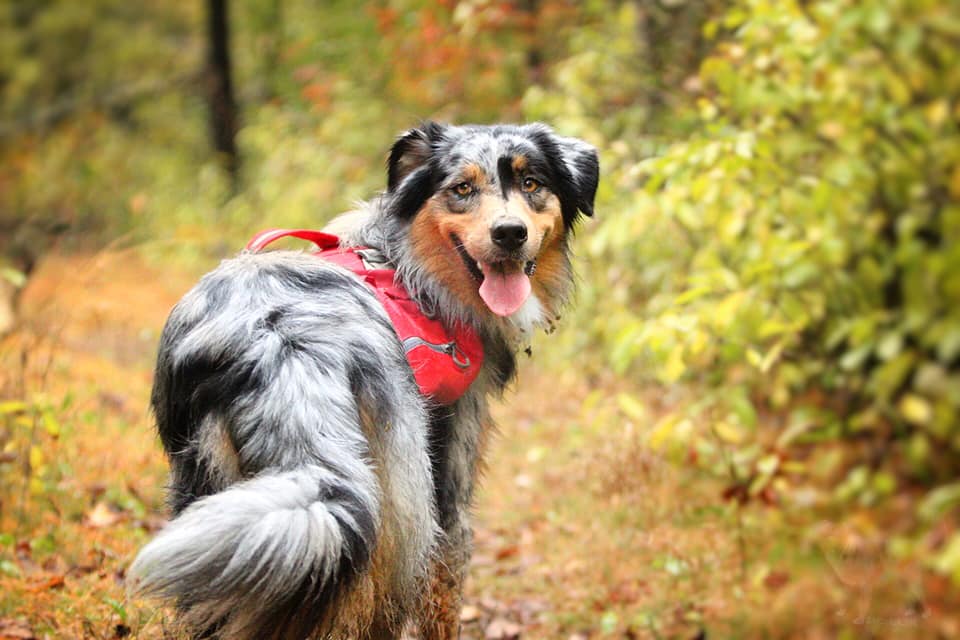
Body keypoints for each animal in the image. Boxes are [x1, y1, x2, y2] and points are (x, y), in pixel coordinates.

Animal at [131, 122, 596, 636]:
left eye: (531, 183)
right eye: (462, 189)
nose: (510, 233)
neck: (410, 268)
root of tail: (279, 339)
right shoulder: (450, 484)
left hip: (212, 497)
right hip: (400, 504)